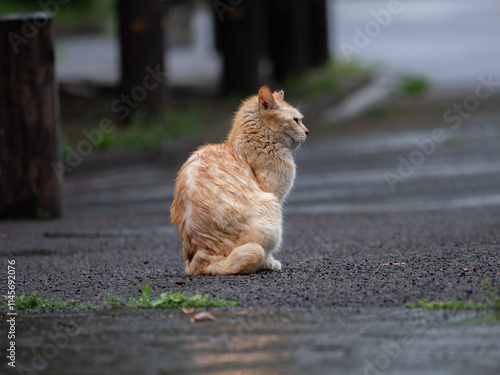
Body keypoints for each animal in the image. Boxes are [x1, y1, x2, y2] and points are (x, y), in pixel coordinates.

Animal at [170, 87, 306, 276]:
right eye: (296, 120)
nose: (307, 132)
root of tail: (202, 258)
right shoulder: (275, 194)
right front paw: (272, 262)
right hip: (272, 213)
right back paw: (267, 263)